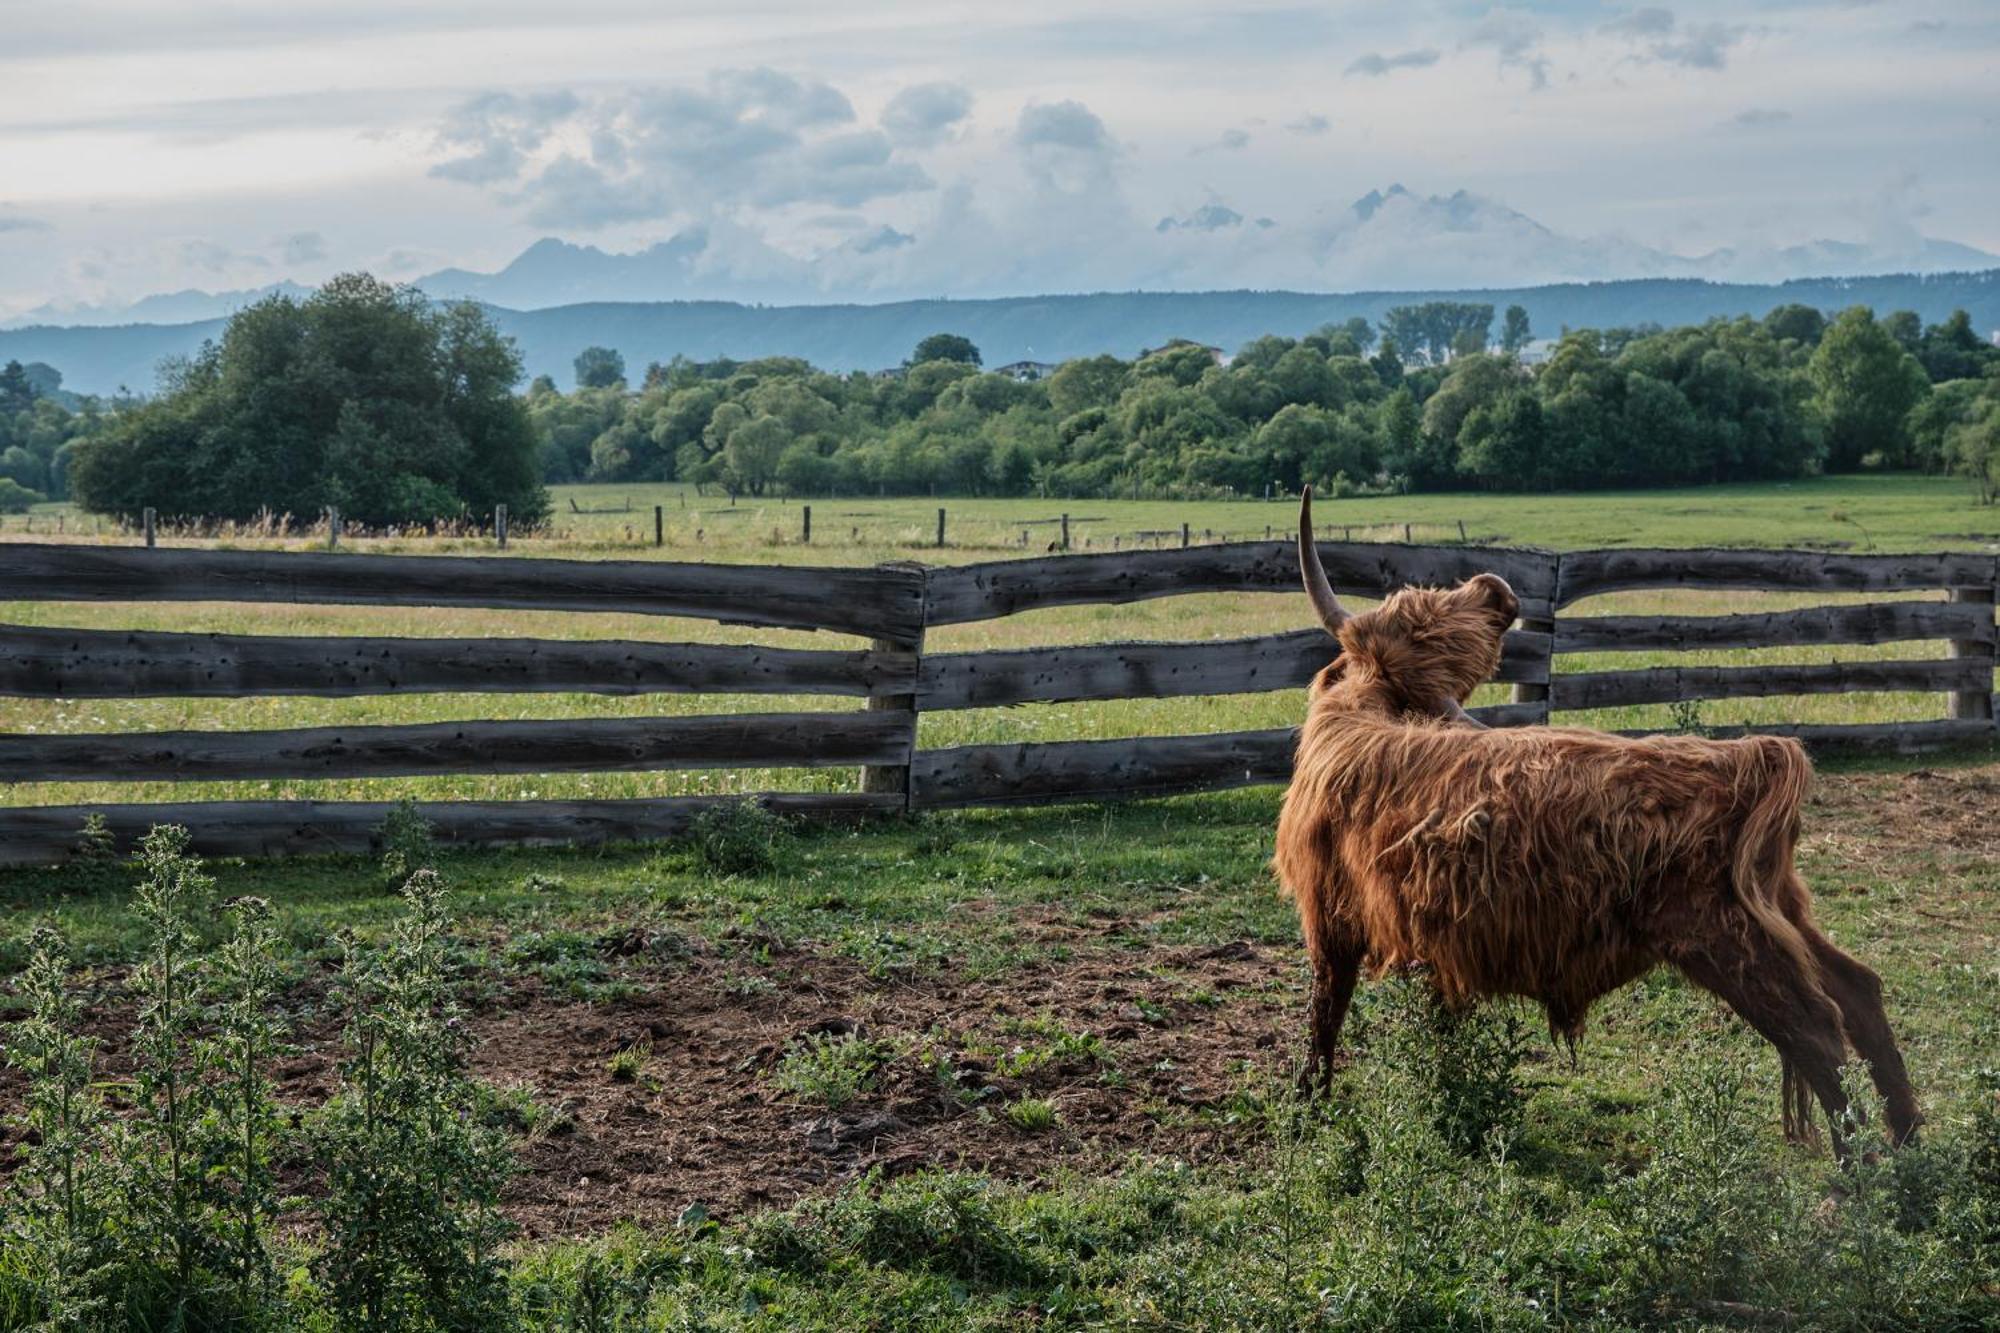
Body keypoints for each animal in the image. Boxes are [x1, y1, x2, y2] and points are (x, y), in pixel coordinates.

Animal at [1272, 488, 1912, 1144]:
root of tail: (1744, 757)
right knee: (1858, 991)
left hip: (1725, 937)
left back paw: (1867, 1166)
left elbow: (1324, 1015)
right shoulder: (1432, 938)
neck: (1355, 714)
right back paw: (1910, 1148)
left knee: (1816, 1032)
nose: (1497, 590)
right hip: (1779, 905)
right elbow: (1433, 1024)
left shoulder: (1328, 914)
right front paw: (1443, 1101)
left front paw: (1308, 1109)